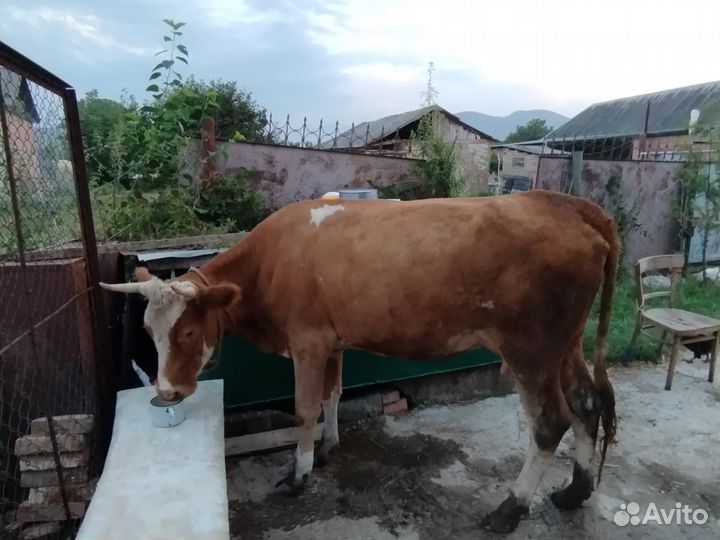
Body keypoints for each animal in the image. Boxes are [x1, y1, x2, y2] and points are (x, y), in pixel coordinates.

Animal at [101, 189, 618, 533]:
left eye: (188, 332)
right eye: (148, 330)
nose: (167, 391)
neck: (270, 262)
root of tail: (564, 203)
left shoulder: (307, 342)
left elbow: (304, 408)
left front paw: (298, 474)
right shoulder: (332, 342)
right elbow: (332, 395)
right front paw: (328, 447)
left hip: (530, 351)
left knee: (550, 423)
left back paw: (509, 510)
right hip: (565, 344)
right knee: (586, 404)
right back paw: (574, 492)